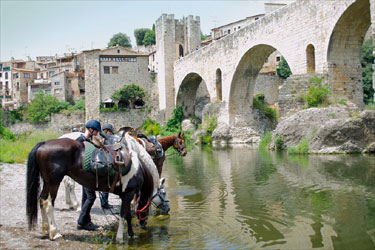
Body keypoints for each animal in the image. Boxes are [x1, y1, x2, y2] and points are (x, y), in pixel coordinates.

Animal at [25, 137, 167, 242]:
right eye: (164, 193)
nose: (167, 209)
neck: (138, 168)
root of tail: (44, 143)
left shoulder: (125, 194)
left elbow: (127, 215)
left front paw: (131, 234)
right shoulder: (128, 194)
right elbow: (123, 215)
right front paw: (120, 238)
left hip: (47, 183)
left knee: (41, 200)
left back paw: (45, 229)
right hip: (54, 182)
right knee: (48, 203)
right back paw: (55, 232)